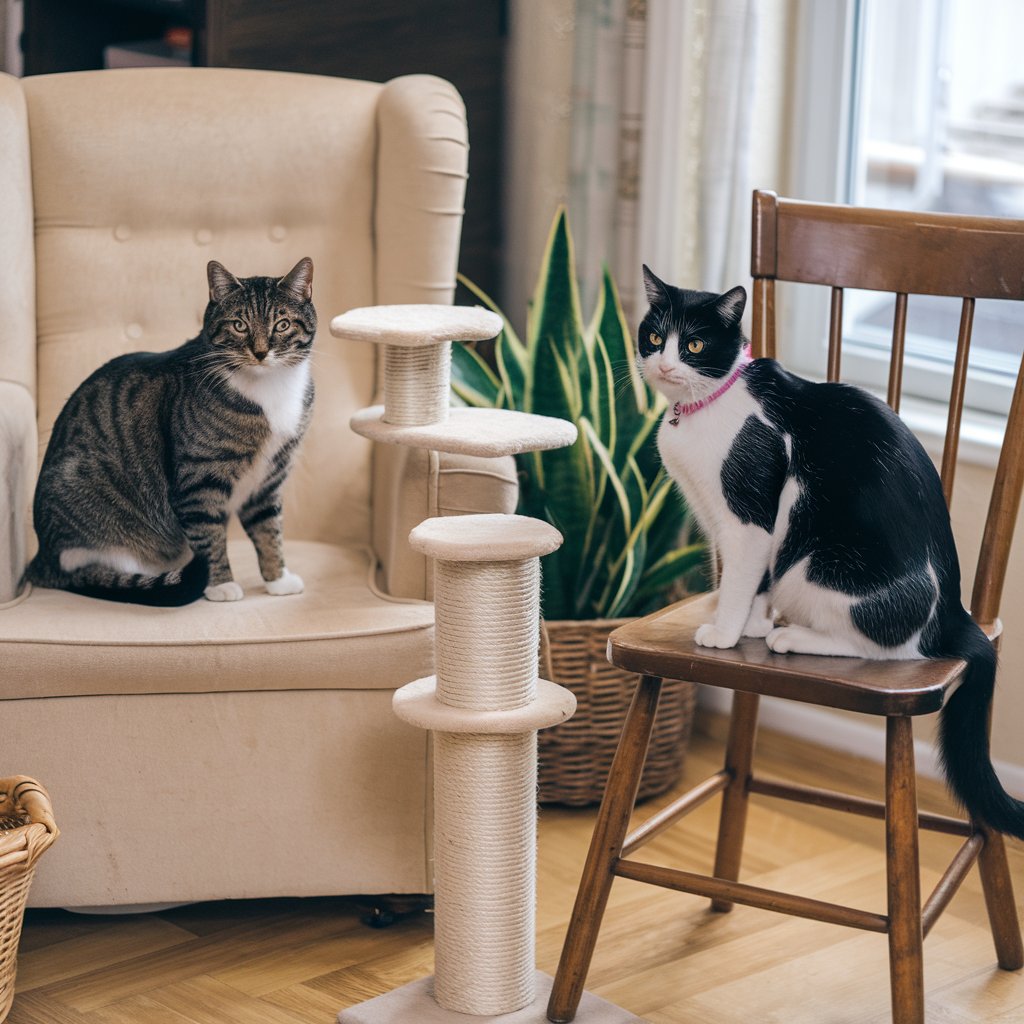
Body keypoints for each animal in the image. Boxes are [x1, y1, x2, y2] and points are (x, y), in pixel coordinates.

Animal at [27, 258, 315, 606]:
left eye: (282, 325)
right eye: (239, 325)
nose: (260, 352)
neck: (269, 390)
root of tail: (42, 559)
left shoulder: (269, 479)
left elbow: (268, 529)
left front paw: (278, 580)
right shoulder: (198, 481)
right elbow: (209, 536)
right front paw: (220, 585)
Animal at [638, 266, 1024, 839]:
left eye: (695, 344)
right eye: (655, 336)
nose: (663, 363)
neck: (710, 406)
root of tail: (961, 617)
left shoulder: (750, 518)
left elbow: (738, 581)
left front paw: (725, 635)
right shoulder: (745, 532)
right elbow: (754, 585)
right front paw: (751, 626)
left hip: (817, 565)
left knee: (890, 647)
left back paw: (794, 638)